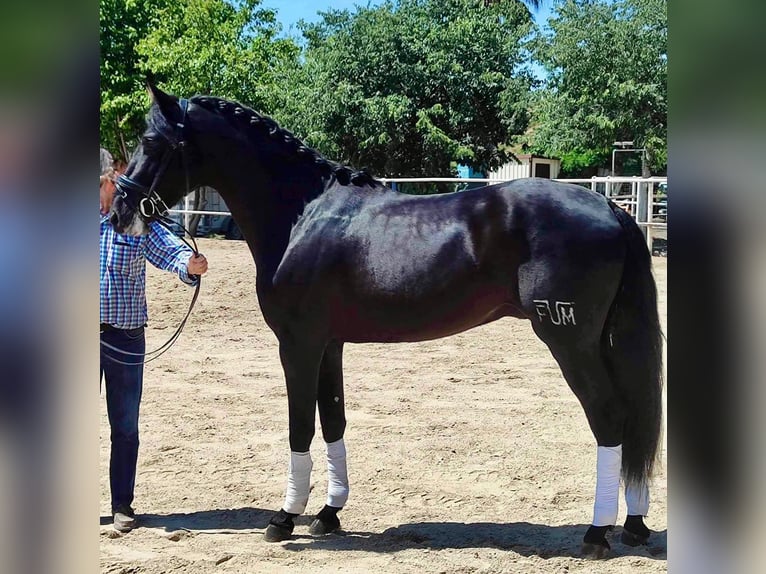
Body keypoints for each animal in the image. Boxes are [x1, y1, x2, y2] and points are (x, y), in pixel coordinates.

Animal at [109, 83, 664, 560]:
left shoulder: (298, 344)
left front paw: (284, 519)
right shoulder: (329, 345)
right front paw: (328, 514)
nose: (118, 212)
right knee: (633, 417)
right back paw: (634, 526)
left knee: (609, 417)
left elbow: (298, 426)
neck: (302, 214)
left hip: (570, 341)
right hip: (601, 341)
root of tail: (612, 206)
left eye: (152, 141)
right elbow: (332, 419)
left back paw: (596, 533)